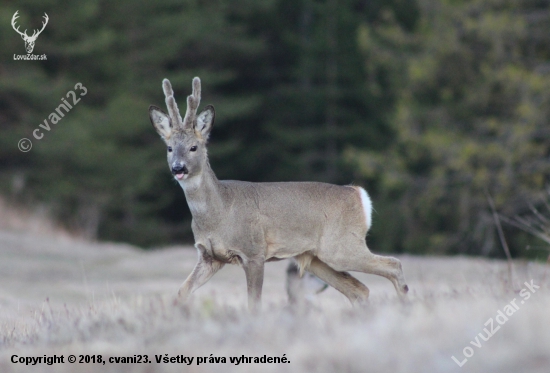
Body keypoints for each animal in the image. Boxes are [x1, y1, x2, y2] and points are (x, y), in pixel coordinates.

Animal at [150, 76, 410, 310]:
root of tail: (358, 193)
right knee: (359, 290)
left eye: (194, 147)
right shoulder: (209, 257)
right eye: (169, 148)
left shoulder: (253, 252)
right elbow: (181, 292)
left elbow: (254, 303)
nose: (178, 168)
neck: (219, 212)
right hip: (316, 257)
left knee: (394, 265)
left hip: (341, 246)